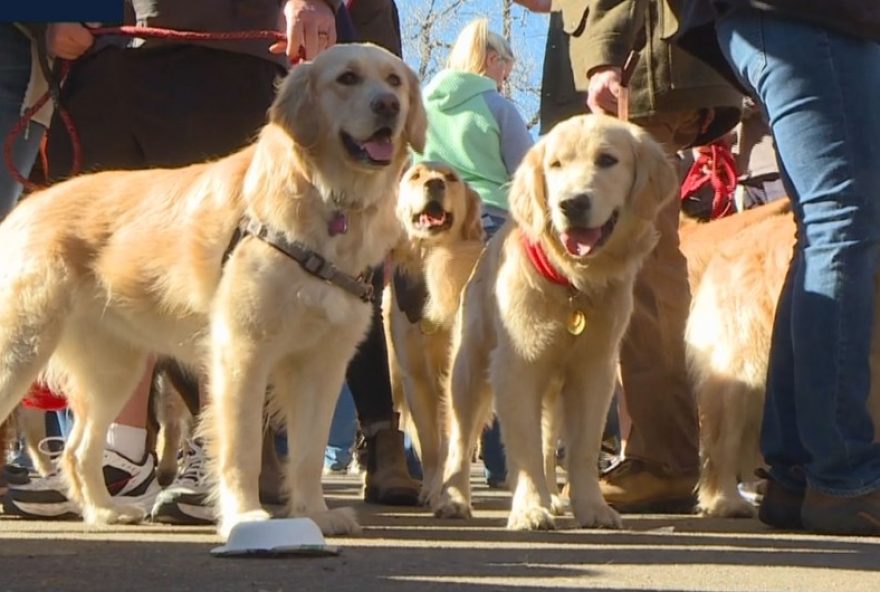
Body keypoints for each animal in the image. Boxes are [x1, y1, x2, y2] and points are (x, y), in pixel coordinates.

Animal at [436, 113, 676, 528]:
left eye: (607, 160)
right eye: (556, 165)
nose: (571, 204)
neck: (571, 283)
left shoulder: (594, 372)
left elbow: (580, 450)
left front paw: (591, 507)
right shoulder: (516, 368)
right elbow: (526, 448)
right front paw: (530, 508)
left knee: (550, 443)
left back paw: (553, 497)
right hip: (469, 371)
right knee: (460, 440)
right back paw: (453, 499)